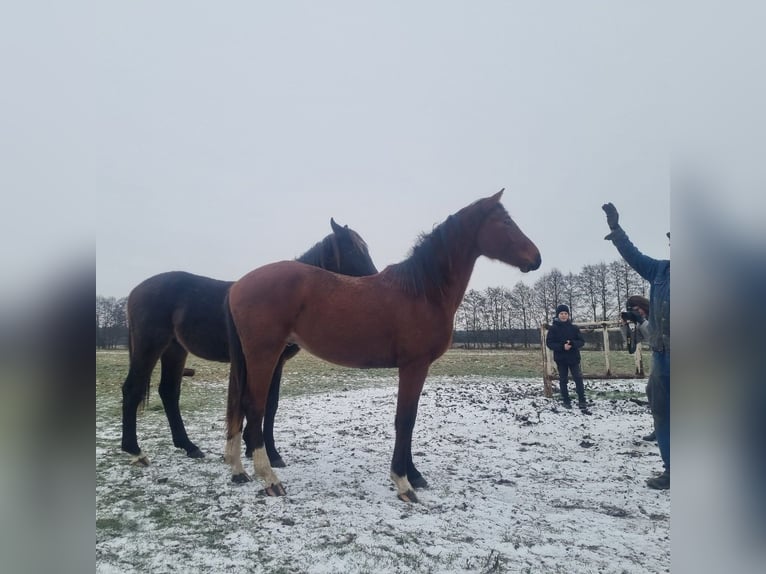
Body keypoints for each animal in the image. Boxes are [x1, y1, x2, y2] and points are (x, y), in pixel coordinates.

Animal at [119, 220, 378, 468]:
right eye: (351, 249)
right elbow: (267, 403)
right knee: (132, 389)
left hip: (175, 349)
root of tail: (135, 291)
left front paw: (250, 446)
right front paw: (271, 453)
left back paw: (188, 446)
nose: (375, 280)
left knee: (169, 392)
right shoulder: (270, 359)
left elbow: (267, 403)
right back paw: (135, 450)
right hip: (149, 346)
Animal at [225, 190, 544, 504]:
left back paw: (239, 471)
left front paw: (414, 474)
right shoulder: (414, 366)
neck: (423, 291)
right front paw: (403, 482)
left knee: (240, 407)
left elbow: (408, 419)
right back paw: (270, 479)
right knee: (254, 408)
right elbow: (406, 420)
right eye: (505, 222)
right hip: (264, 355)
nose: (537, 257)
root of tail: (237, 286)